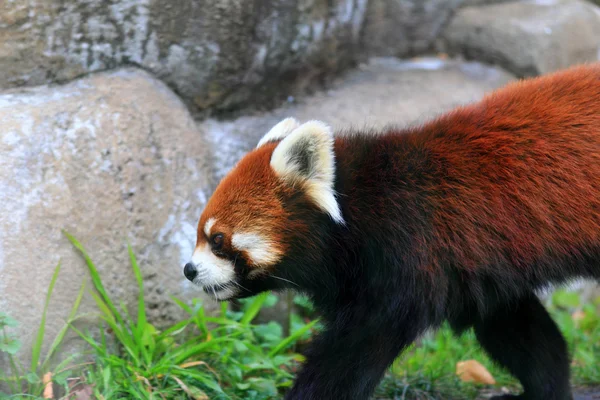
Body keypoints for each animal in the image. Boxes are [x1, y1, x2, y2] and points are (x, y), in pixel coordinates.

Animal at [183, 64, 600, 398]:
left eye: (218, 240)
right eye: (200, 234)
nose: (189, 270)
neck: (362, 208)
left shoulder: (408, 259)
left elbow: (350, 356)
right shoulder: (480, 275)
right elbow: (525, 336)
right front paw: (550, 387)